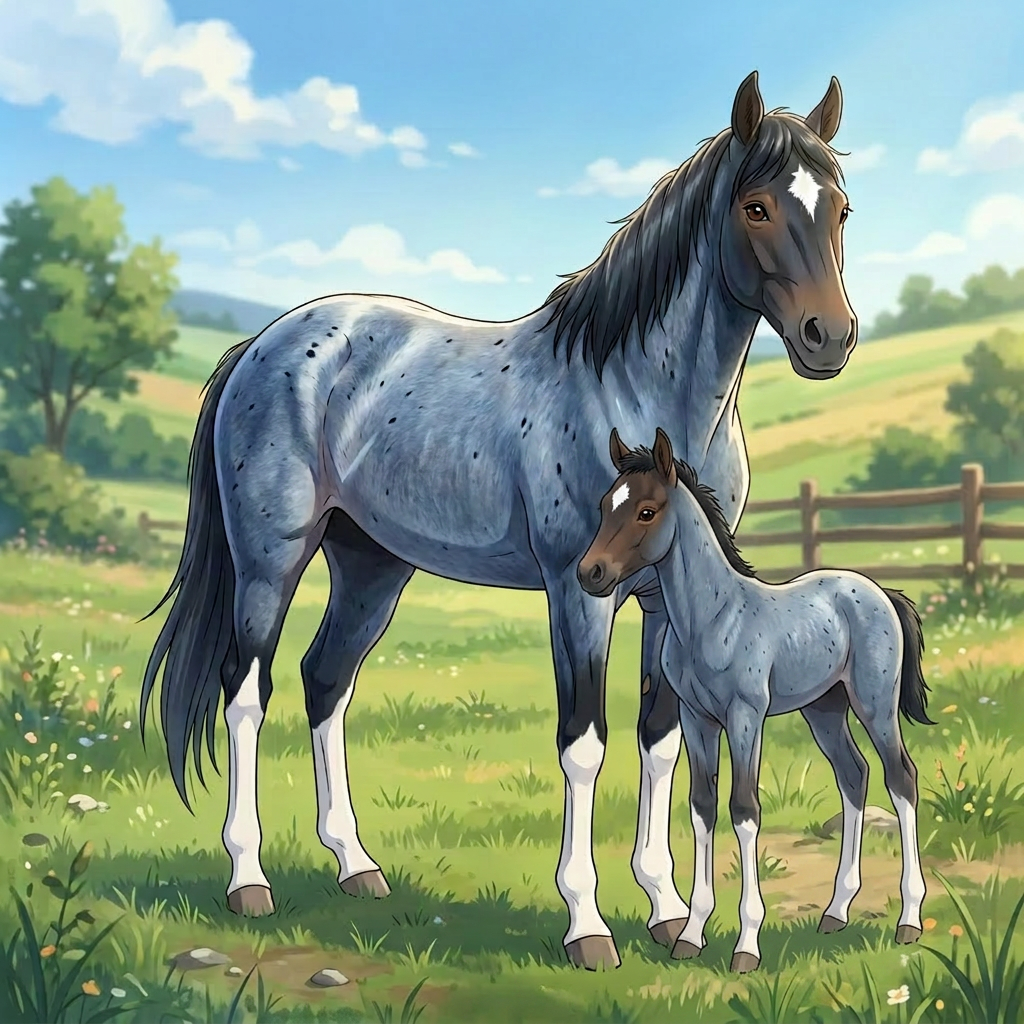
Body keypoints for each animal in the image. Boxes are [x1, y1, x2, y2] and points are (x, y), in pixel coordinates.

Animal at [140, 70, 858, 971]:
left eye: (840, 208)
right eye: (756, 207)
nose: (829, 337)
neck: (636, 388)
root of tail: (264, 344)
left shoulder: (668, 601)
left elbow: (657, 736)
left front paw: (664, 909)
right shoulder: (579, 592)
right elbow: (583, 744)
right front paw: (588, 926)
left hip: (372, 567)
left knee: (325, 682)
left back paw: (356, 867)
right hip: (271, 561)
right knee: (246, 692)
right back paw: (248, 879)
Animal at [578, 428, 933, 972]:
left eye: (646, 510)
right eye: (604, 504)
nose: (589, 573)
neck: (713, 618)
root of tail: (877, 591)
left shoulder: (745, 717)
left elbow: (744, 808)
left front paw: (746, 946)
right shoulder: (697, 719)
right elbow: (702, 807)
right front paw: (691, 935)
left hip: (874, 705)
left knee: (902, 778)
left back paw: (909, 921)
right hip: (824, 710)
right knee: (854, 776)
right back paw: (835, 913)